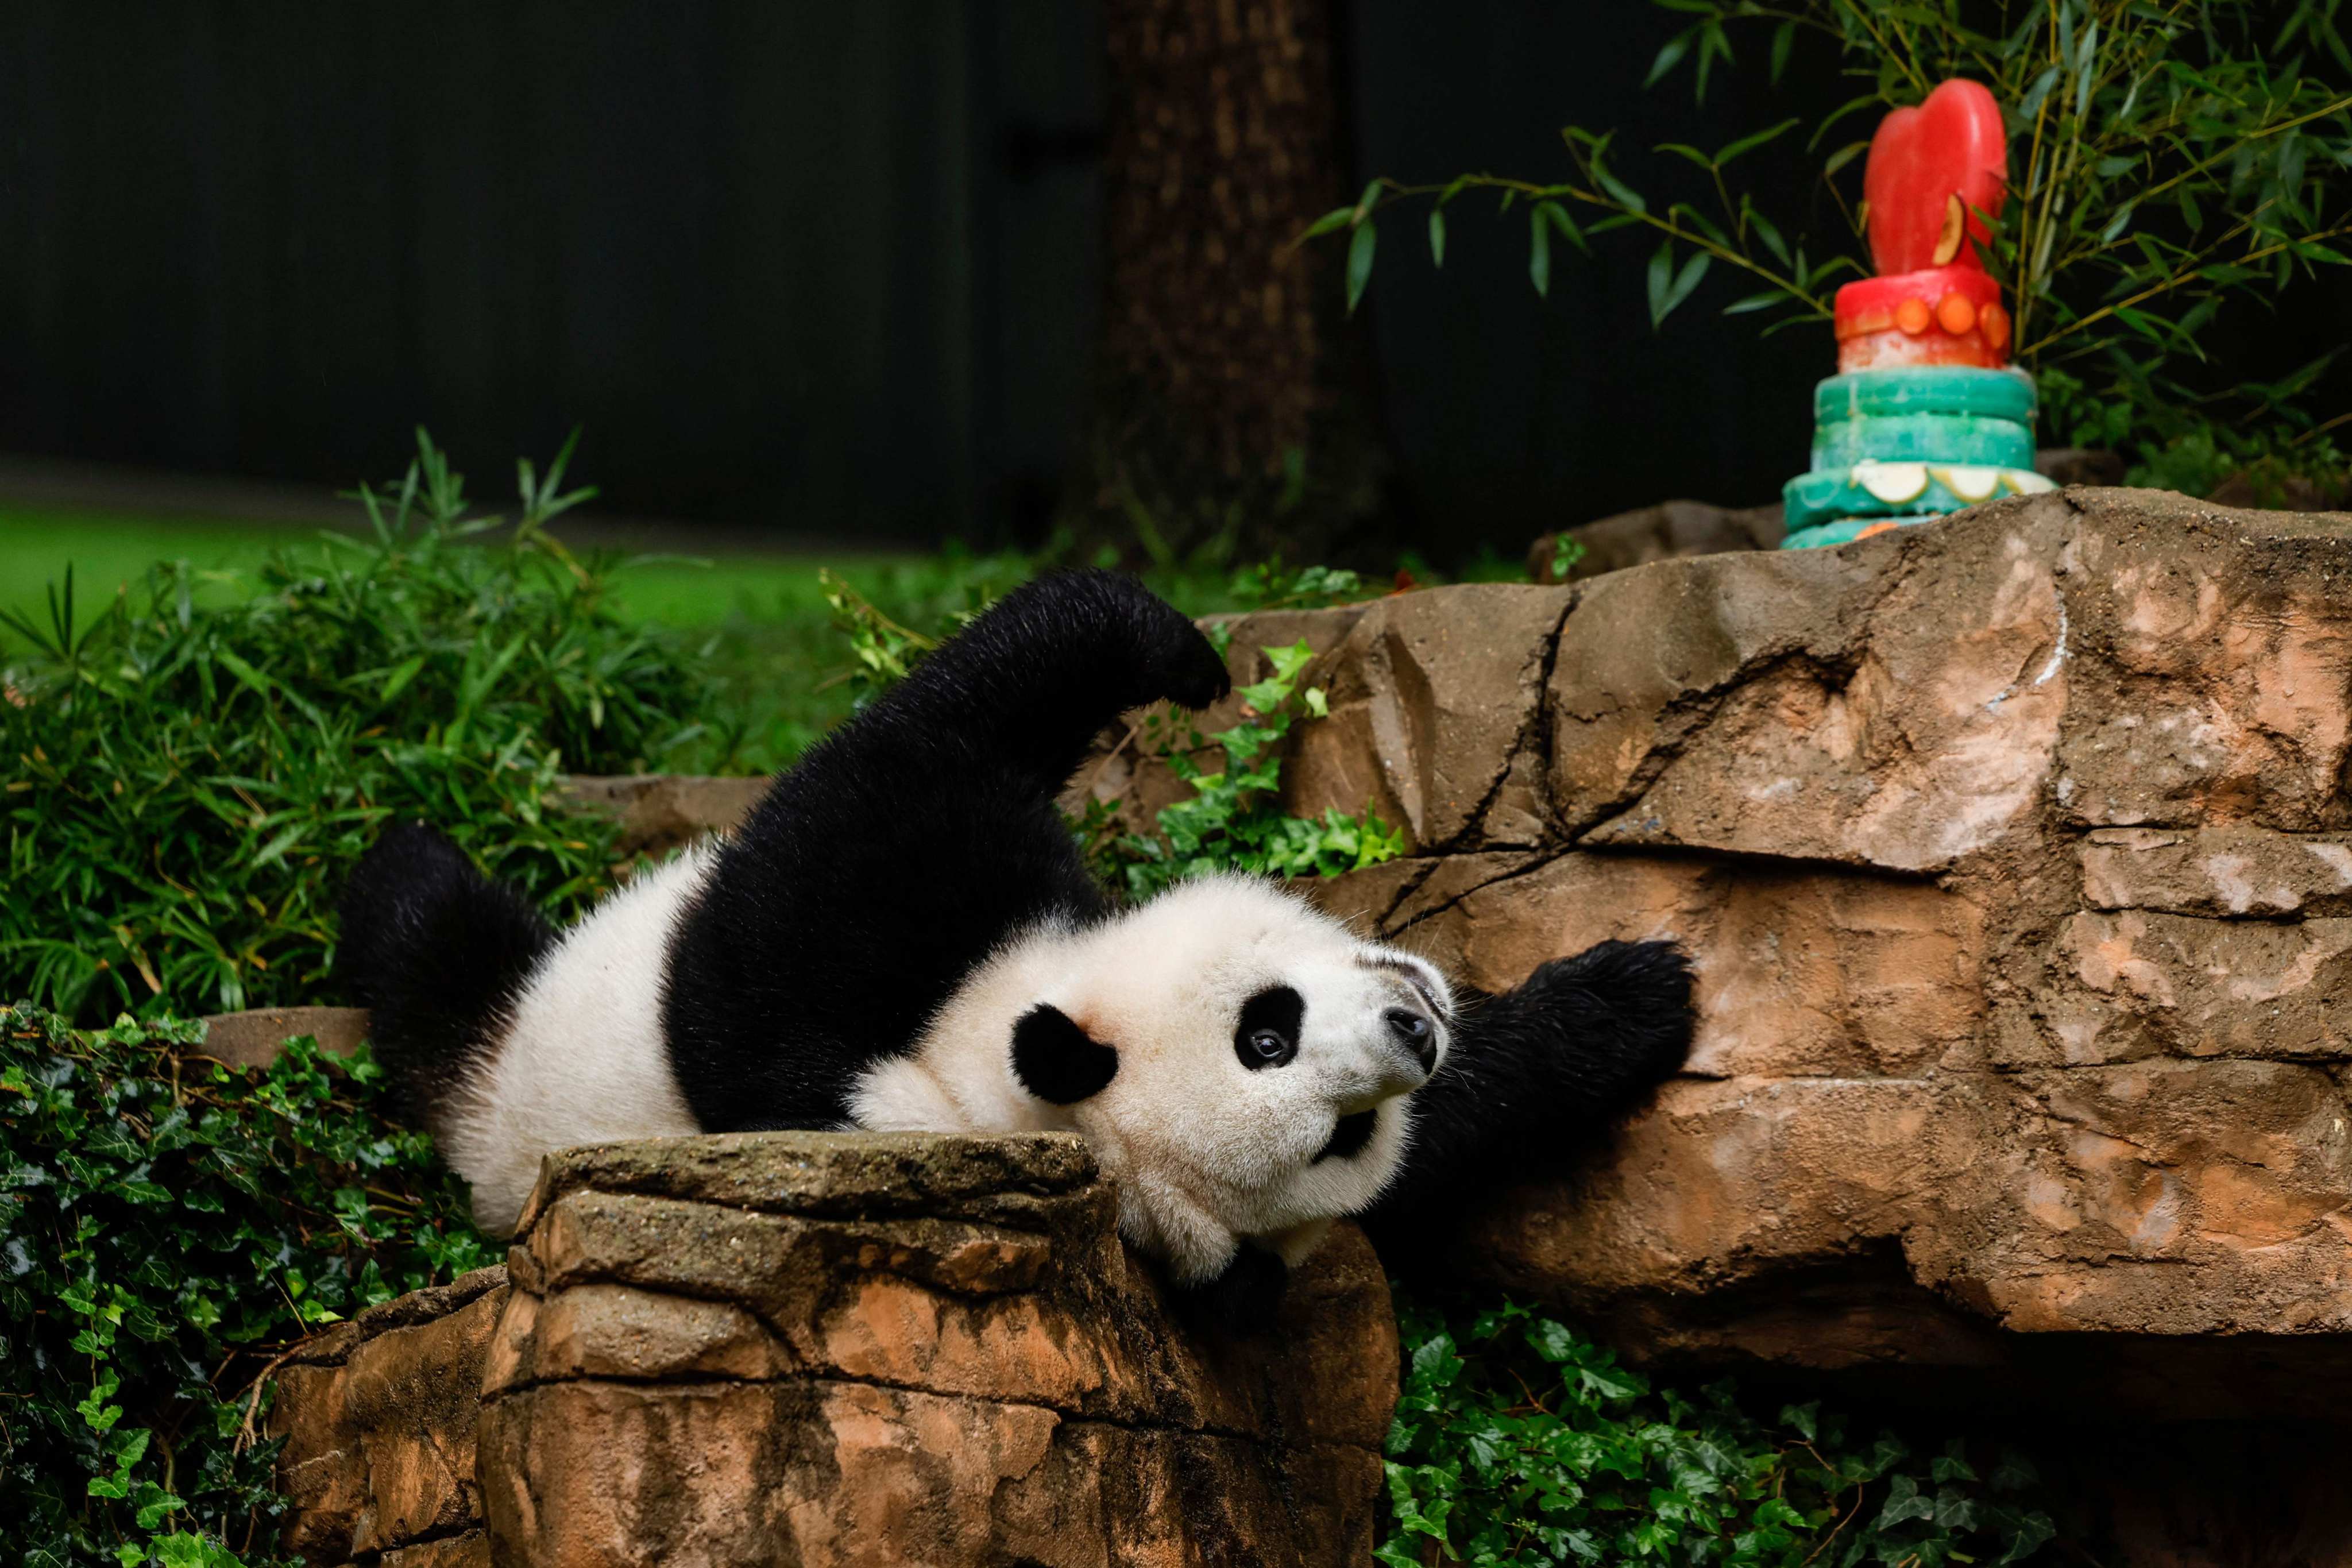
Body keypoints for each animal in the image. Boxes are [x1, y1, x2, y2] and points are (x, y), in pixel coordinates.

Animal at [336, 571, 1693, 1316]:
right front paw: (1179, 656)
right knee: (433, 938)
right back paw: (398, 850)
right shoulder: (853, 945)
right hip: (521, 1027)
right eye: (1268, 1035)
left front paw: (1626, 1005)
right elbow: (896, 765)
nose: (1414, 1029)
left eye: (1344, 1134)